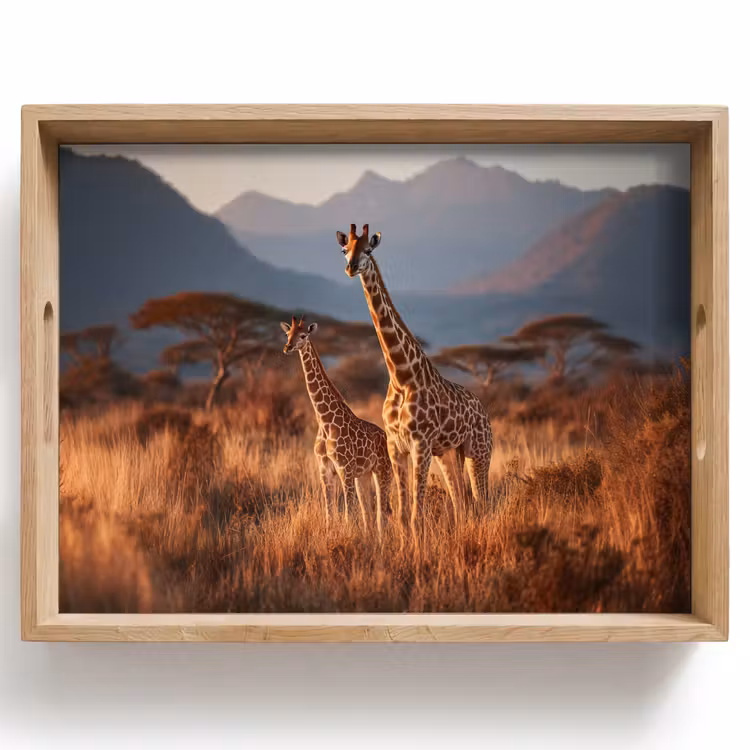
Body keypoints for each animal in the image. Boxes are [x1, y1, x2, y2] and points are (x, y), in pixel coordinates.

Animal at [281, 315, 392, 537]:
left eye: (303, 335)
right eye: (288, 333)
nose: (287, 347)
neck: (324, 421)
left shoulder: (344, 470)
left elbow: (349, 514)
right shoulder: (325, 470)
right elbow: (329, 514)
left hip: (383, 472)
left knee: (381, 514)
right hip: (363, 475)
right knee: (369, 514)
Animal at [336, 224, 493, 540]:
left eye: (368, 250)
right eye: (345, 249)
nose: (351, 267)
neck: (401, 376)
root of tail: (484, 411)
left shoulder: (420, 445)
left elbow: (415, 515)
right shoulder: (396, 447)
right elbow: (401, 514)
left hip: (479, 452)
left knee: (481, 502)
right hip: (448, 453)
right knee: (461, 503)